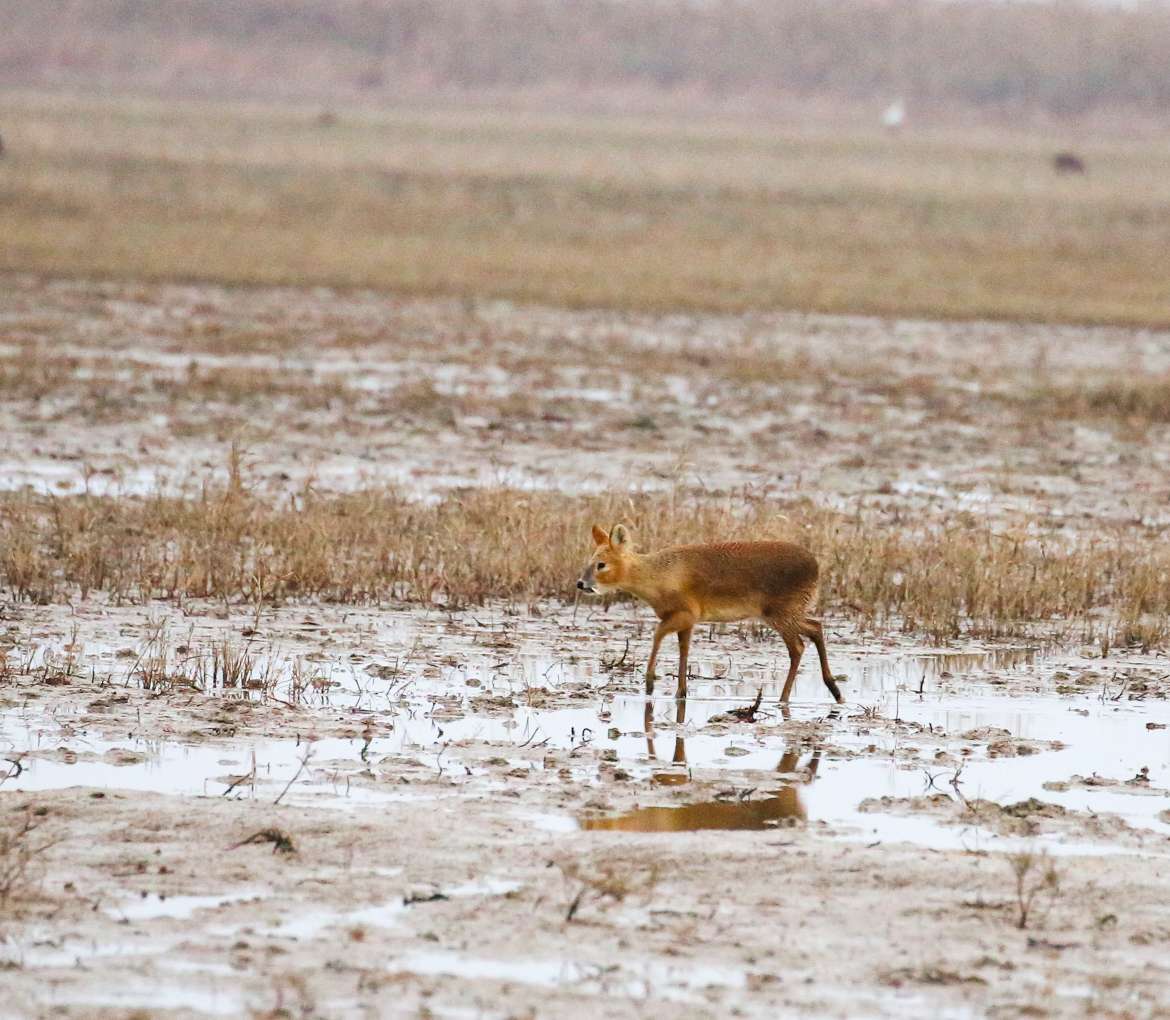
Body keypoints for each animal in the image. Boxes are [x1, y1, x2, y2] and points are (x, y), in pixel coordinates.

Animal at [575, 526, 842, 701]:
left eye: (601, 564)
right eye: (590, 560)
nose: (581, 583)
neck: (657, 576)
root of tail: (816, 567)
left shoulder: (684, 615)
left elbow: (657, 635)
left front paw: (650, 683)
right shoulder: (687, 622)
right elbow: (684, 651)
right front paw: (680, 693)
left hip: (780, 614)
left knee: (798, 647)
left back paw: (785, 698)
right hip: (786, 613)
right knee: (815, 628)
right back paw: (834, 690)